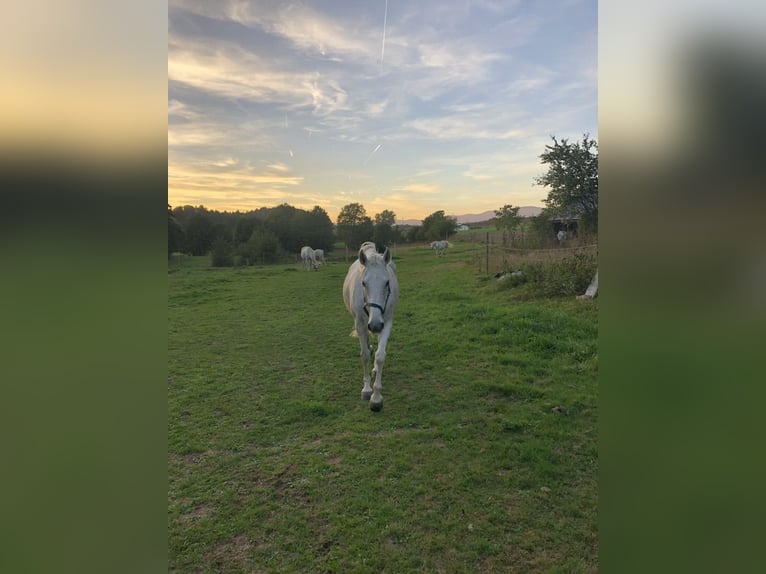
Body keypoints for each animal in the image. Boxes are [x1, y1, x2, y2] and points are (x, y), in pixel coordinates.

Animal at [344, 241, 400, 412]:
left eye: (387, 283)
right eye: (363, 283)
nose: (375, 325)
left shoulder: (386, 322)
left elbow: (380, 356)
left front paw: (376, 398)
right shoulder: (361, 325)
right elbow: (364, 355)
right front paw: (367, 389)